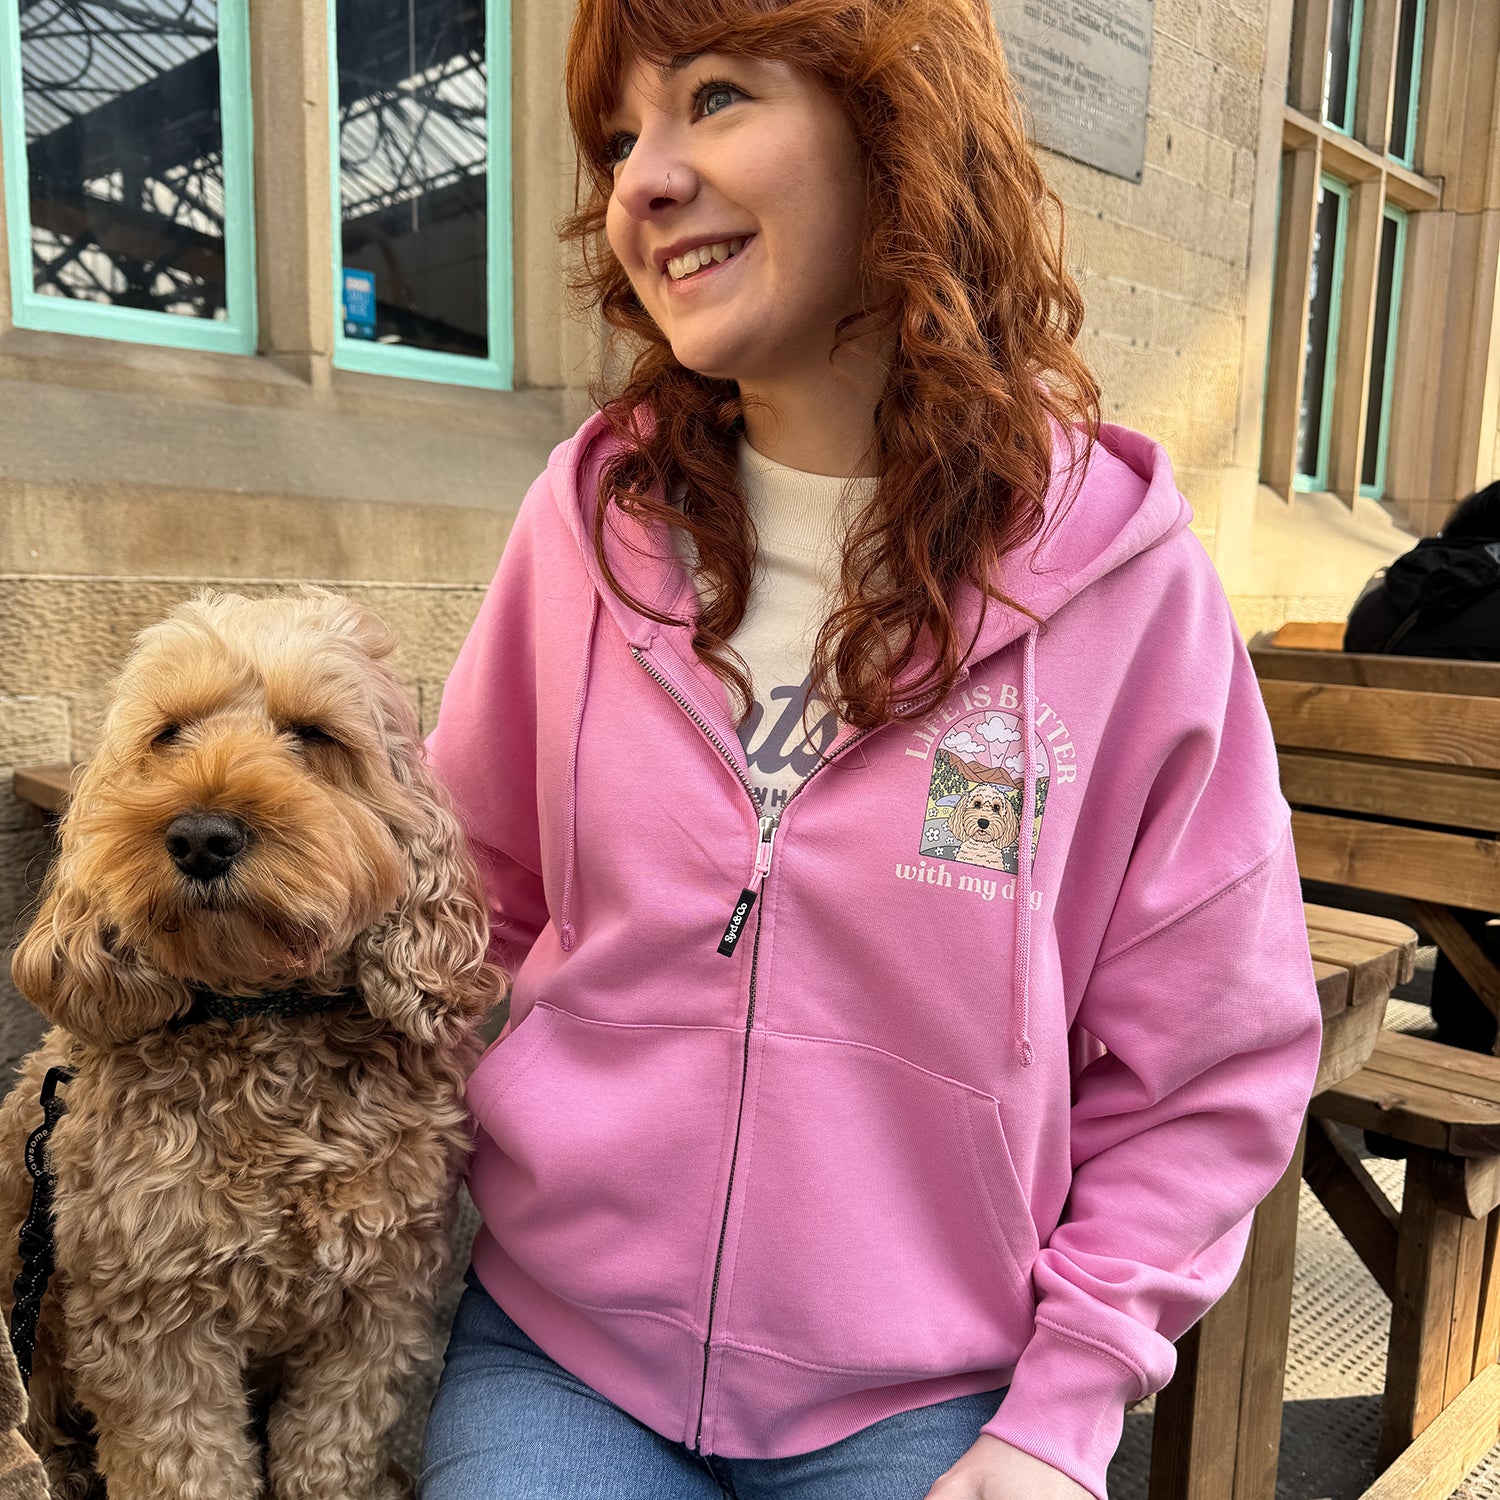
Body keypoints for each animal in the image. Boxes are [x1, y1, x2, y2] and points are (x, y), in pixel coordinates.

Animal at [0, 590, 498, 1500]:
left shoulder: (376, 1306)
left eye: (314, 735)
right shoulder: (152, 1321)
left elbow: (330, 1451)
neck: (265, 1013)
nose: (201, 835)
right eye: (166, 735)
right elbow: (187, 1463)